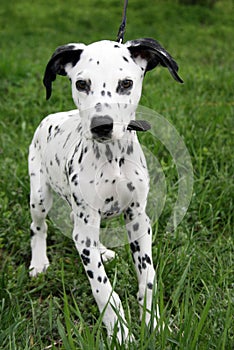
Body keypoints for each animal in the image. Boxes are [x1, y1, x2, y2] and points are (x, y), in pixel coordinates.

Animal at [29, 37, 183, 342]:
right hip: (39, 196)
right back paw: (39, 262)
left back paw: (101, 250)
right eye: (81, 83)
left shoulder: (138, 220)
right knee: (38, 227)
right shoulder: (86, 223)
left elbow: (148, 279)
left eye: (126, 83)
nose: (102, 125)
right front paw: (120, 334)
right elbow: (104, 291)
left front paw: (153, 324)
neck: (113, 159)